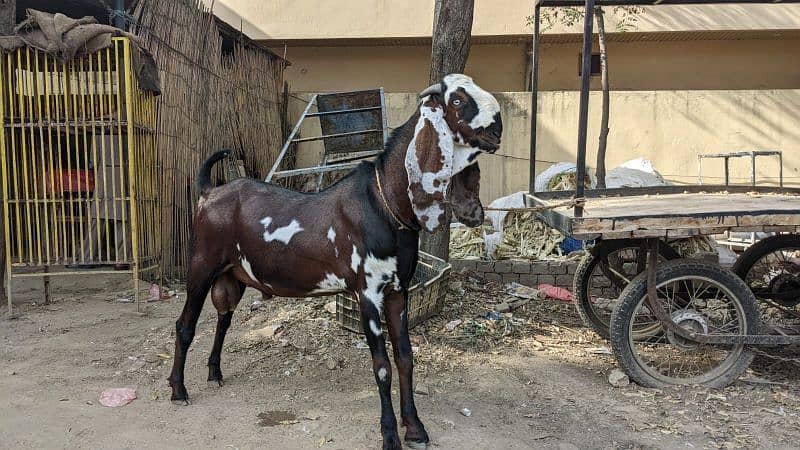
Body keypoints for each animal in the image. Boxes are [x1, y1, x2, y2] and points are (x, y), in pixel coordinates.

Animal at [169, 74, 504, 450]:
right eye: (457, 100)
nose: (498, 127)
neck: (384, 203)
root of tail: (209, 192)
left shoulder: (398, 290)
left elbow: (405, 358)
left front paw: (415, 428)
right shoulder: (367, 293)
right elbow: (382, 366)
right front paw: (390, 435)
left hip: (232, 275)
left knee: (223, 320)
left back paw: (214, 372)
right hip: (202, 264)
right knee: (185, 325)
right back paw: (178, 389)